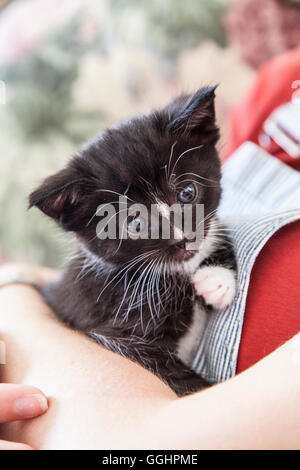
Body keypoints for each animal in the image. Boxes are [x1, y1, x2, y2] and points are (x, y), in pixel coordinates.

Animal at [29, 86, 237, 394]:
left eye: (187, 193)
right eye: (135, 224)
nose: (182, 240)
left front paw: (217, 278)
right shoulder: (117, 336)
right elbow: (181, 381)